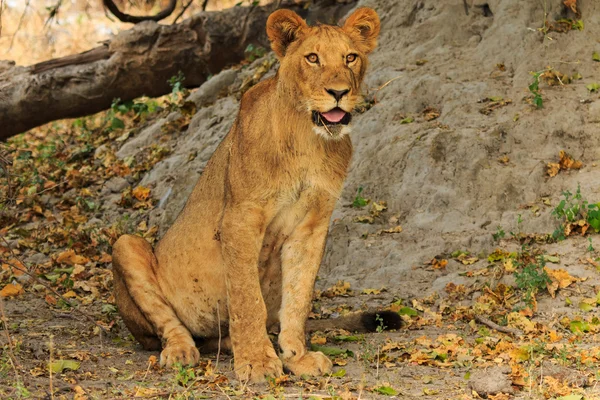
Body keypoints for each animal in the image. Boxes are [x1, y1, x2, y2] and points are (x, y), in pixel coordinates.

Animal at [112, 5, 396, 382]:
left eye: (350, 57)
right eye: (312, 58)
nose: (339, 92)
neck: (307, 139)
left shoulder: (311, 227)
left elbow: (298, 297)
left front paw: (296, 357)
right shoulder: (240, 219)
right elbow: (247, 297)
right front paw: (258, 362)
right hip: (126, 246)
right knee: (166, 327)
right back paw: (181, 350)